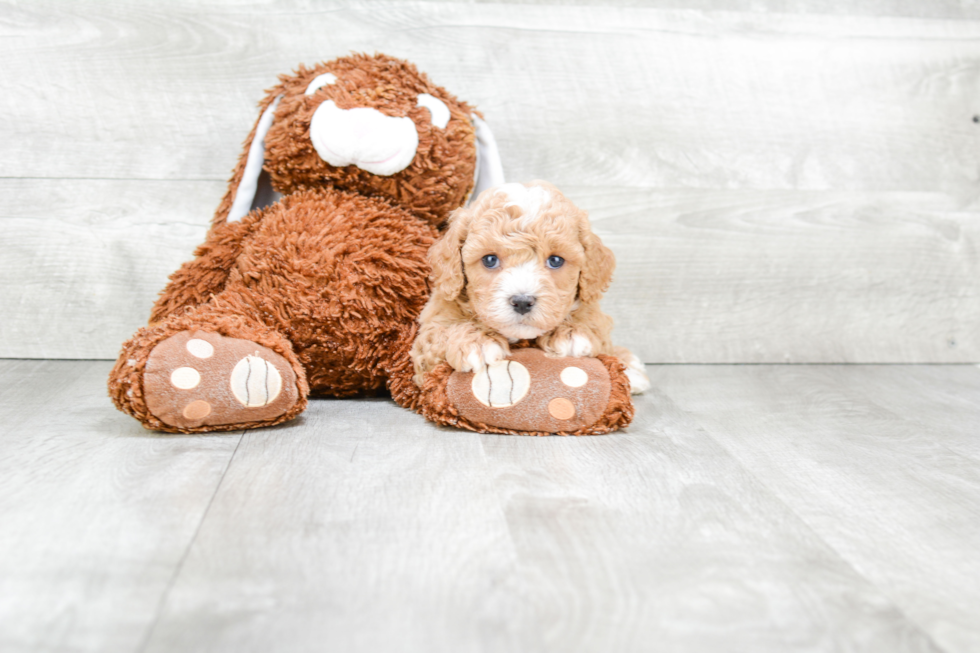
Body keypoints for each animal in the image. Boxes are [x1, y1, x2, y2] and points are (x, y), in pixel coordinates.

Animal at [414, 180, 652, 392]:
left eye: (555, 260)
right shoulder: (426, 342)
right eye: (489, 260)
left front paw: (573, 332)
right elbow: (443, 331)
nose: (522, 302)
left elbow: (593, 321)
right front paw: (477, 341)